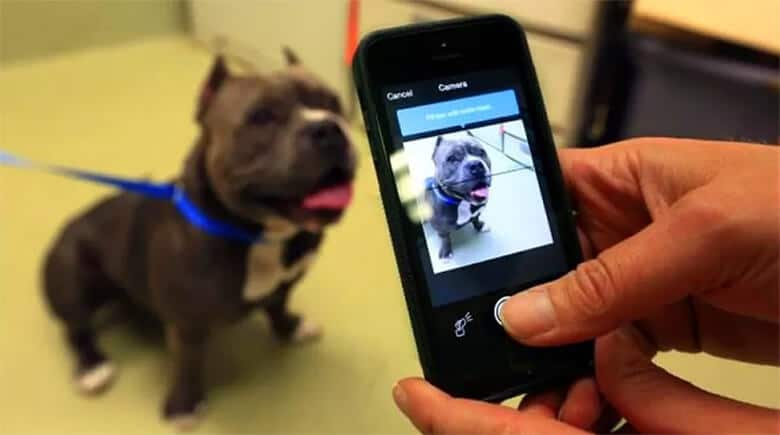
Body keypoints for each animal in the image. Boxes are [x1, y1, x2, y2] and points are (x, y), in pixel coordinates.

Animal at [44, 51, 354, 430]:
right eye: (262, 117)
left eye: (333, 103)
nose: (328, 127)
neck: (261, 234)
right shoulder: (186, 323)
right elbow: (188, 365)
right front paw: (183, 405)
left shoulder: (287, 281)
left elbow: (279, 305)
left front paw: (291, 327)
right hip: (71, 277)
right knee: (76, 328)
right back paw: (92, 366)